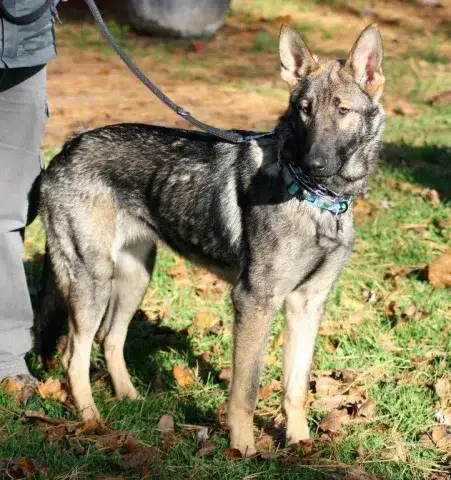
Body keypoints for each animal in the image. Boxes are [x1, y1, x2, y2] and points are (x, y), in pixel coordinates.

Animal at [38, 23, 385, 456]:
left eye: (342, 111)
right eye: (304, 110)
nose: (313, 164)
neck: (318, 201)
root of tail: (64, 152)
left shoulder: (307, 305)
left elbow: (295, 389)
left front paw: (300, 445)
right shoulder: (254, 302)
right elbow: (245, 391)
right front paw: (244, 450)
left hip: (135, 278)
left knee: (110, 340)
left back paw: (130, 399)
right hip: (94, 282)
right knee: (74, 355)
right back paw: (91, 421)